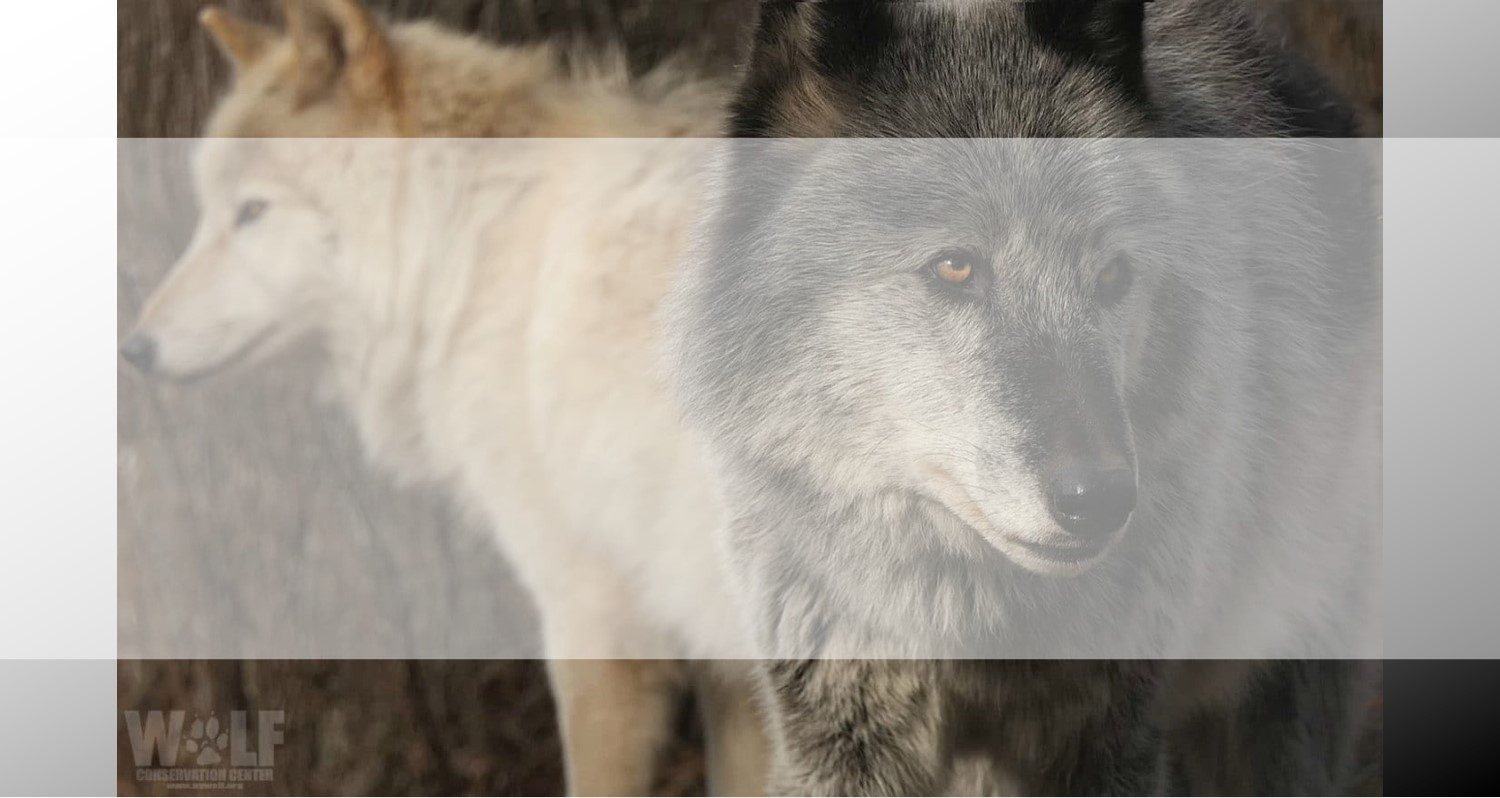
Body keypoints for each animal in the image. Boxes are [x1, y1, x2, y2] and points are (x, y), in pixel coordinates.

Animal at [119, 1, 769, 794]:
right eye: (210, 211)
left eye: (252, 212)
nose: (135, 349)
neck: (474, 244)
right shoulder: (717, 651)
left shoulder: (593, 611)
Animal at [667, 0, 1380, 794]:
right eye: (955, 267)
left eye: (1111, 275)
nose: (1100, 497)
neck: (977, 627)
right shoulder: (840, 738)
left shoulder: (1111, 739)